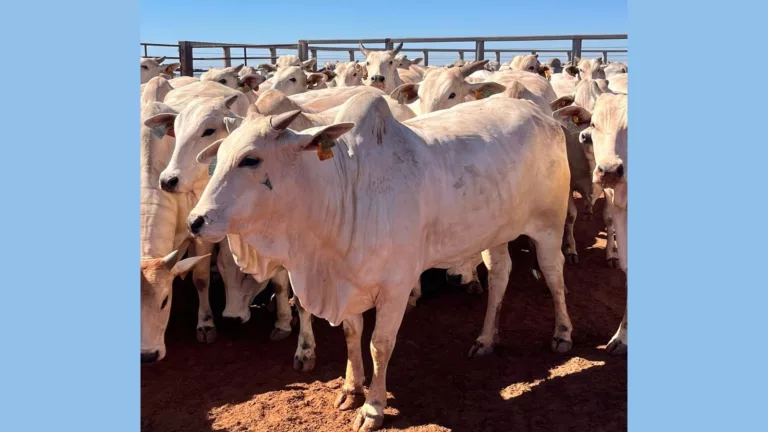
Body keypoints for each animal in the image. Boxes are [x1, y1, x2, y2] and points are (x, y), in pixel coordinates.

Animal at [188, 93, 568, 428]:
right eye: (218, 157)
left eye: (251, 159)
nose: (195, 221)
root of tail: (544, 116)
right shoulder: (347, 282)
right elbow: (352, 334)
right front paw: (350, 388)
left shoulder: (396, 288)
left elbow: (379, 345)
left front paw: (373, 408)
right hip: (495, 234)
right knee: (500, 275)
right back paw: (487, 339)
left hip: (549, 226)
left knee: (554, 275)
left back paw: (562, 334)